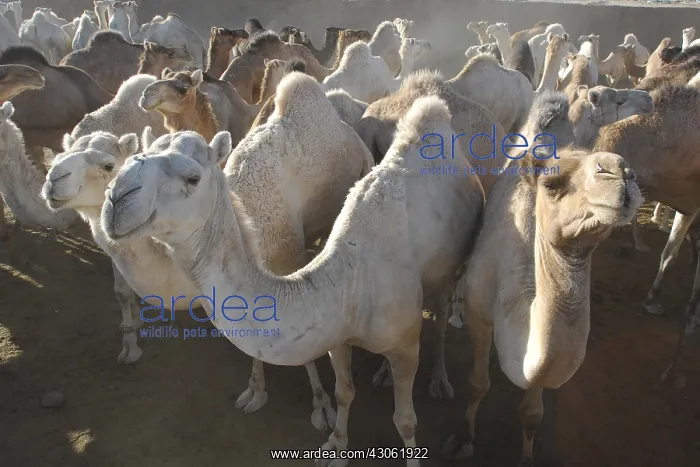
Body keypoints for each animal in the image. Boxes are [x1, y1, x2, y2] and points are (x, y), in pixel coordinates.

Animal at [101, 93, 484, 465]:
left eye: (192, 178)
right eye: (132, 158)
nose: (116, 198)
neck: (351, 283)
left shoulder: (405, 345)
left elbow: (405, 421)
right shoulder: (335, 338)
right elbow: (344, 392)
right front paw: (336, 447)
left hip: (451, 263)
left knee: (442, 318)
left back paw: (440, 379)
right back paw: (383, 375)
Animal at [441, 149, 641, 465]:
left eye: (632, 172)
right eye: (551, 184)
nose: (620, 170)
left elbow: (532, 413)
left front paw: (526, 457)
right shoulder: (479, 315)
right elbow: (477, 384)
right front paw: (463, 439)